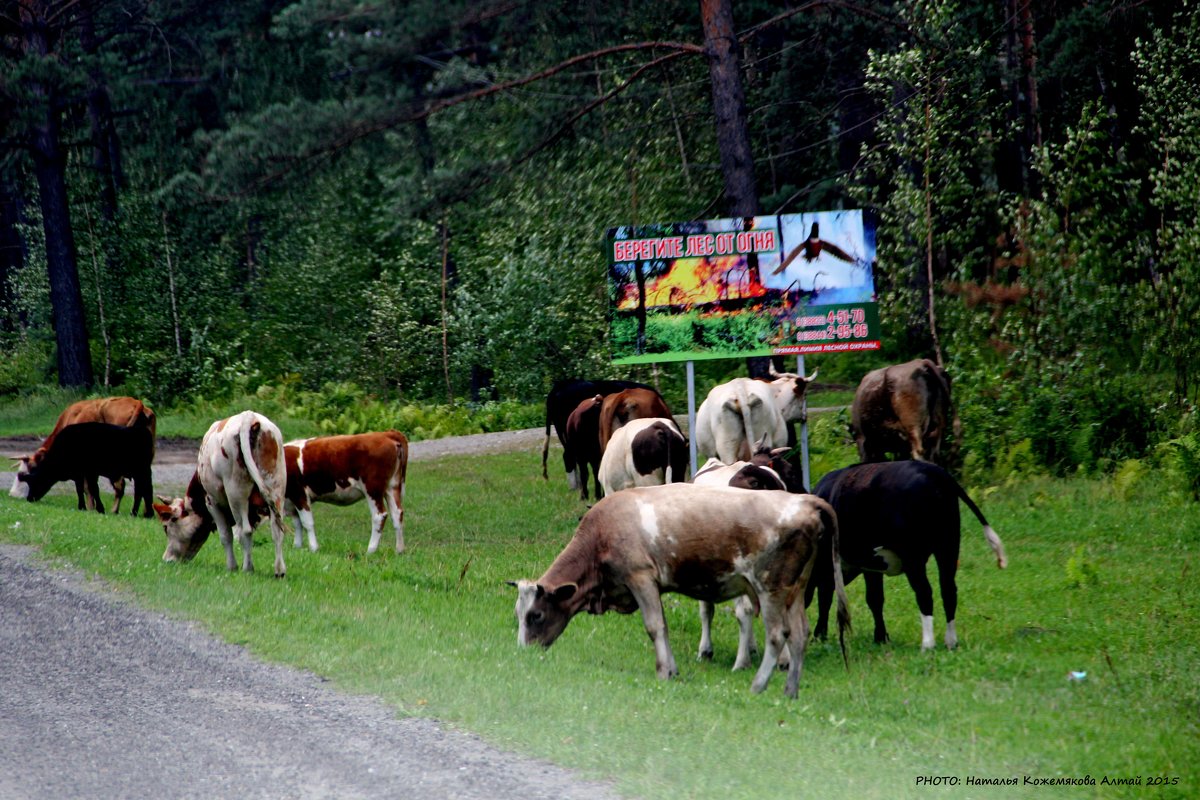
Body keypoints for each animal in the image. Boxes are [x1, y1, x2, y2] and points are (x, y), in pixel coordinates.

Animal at [152, 412, 290, 575]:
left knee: (245, 531)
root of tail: (249, 417)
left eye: (166, 527)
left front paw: (232, 566)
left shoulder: (212, 502)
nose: (167, 559)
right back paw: (279, 570)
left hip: (236, 493)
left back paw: (247, 568)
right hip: (276, 489)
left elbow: (225, 535)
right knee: (277, 530)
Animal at [511, 482, 849, 700]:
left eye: (536, 615)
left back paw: (758, 685)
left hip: (770, 588)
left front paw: (664, 671)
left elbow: (655, 627)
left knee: (778, 635)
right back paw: (790, 690)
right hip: (795, 589)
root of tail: (806, 500)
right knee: (800, 634)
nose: (523, 653)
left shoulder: (640, 578)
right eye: (518, 613)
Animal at [806, 462, 1012, 652]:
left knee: (925, 593)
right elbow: (874, 599)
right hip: (948, 546)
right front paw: (880, 637)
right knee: (948, 590)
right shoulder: (871, 565)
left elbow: (825, 597)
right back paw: (951, 641)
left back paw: (928, 644)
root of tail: (933, 470)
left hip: (914, 557)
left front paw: (819, 635)